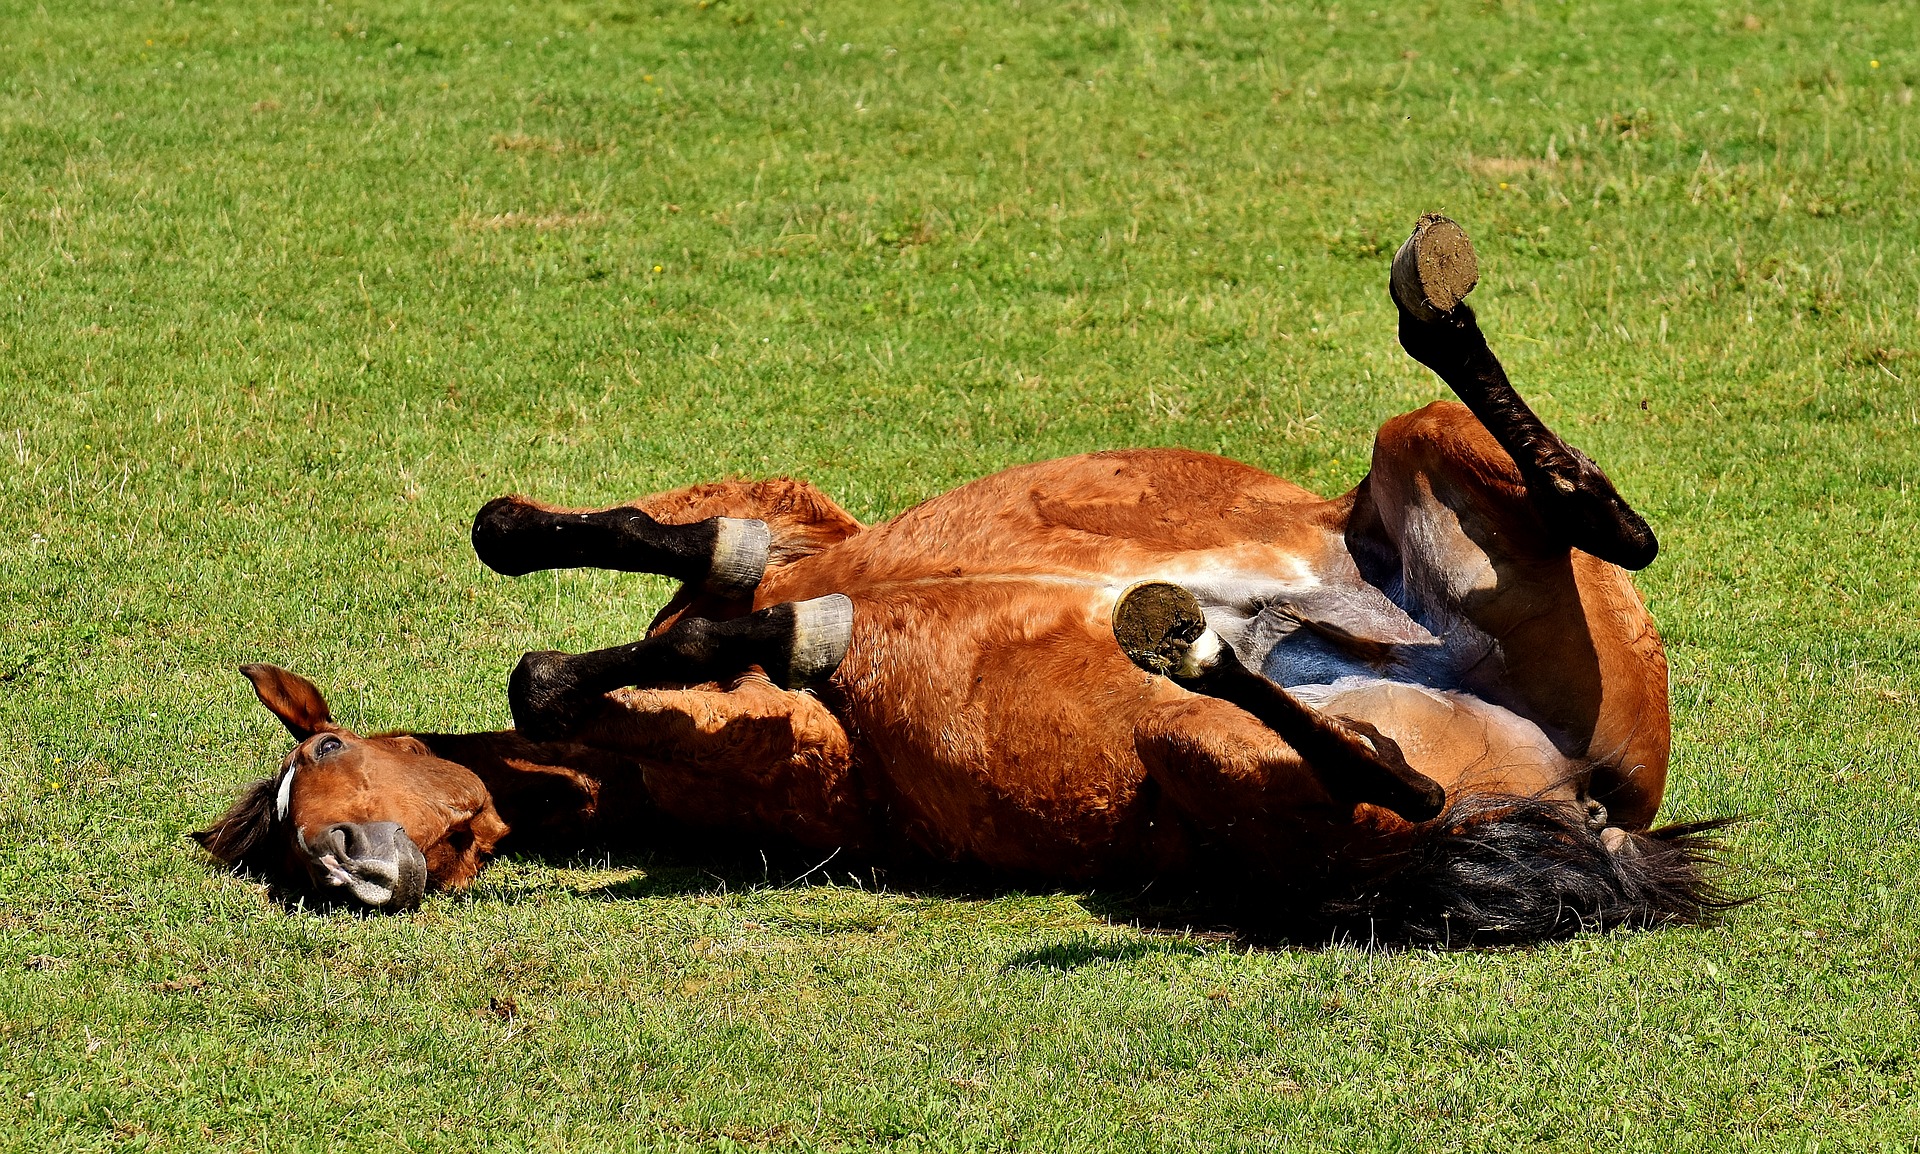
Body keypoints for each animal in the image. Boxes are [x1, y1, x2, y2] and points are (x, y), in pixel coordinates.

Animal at [198, 217, 1743, 944]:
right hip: (1253, 755)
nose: (349, 870)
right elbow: (659, 632)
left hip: (1411, 474)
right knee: (1400, 769)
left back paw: (1426, 311)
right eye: (281, 842)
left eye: (323, 754)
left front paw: (691, 596)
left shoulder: (790, 523)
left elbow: (629, 577)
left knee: (1602, 523)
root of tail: (1595, 805)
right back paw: (1199, 633)